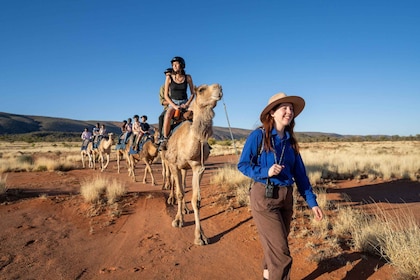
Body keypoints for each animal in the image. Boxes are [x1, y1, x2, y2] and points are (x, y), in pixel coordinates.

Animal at [162, 83, 223, 245]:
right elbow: (179, 193)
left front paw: (200, 236)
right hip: (168, 160)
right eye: (201, 90)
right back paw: (172, 200)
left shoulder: (198, 167)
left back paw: (185, 209)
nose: (219, 88)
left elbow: (196, 200)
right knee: (173, 181)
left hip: (185, 168)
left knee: (183, 183)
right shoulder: (174, 165)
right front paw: (178, 221)